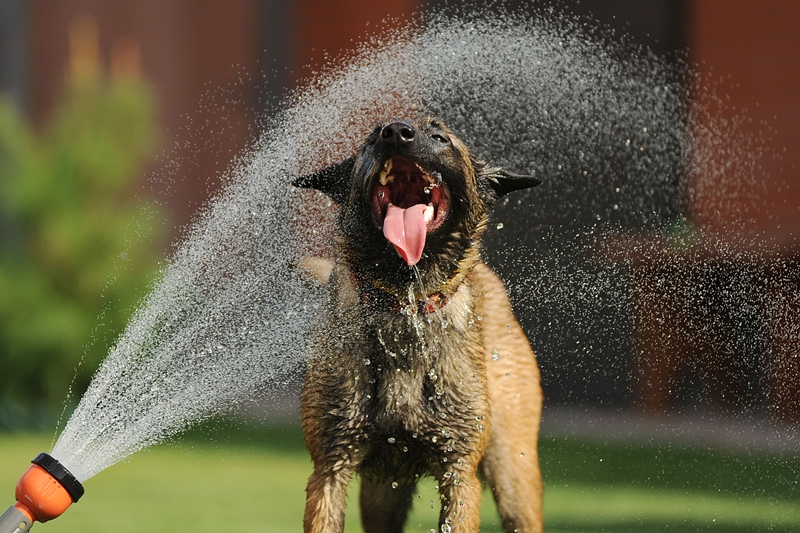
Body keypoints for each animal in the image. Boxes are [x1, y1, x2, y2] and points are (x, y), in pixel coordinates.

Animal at [294, 117, 544, 532]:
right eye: (372, 137)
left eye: (440, 136)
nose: (396, 132)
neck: (404, 303)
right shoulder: (330, 467)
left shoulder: (459, 472)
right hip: (381, 495)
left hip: (513, 474)